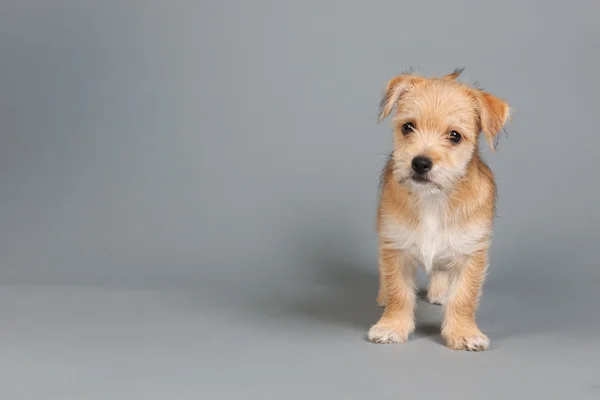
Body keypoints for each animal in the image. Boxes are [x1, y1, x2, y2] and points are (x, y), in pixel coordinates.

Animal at [370, 69, 510, 350]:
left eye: (454, 135)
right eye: (407, 127)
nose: (420, 163)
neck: (433, 199)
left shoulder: (471, 252)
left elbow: (464, 297)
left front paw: (463, 333)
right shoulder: (395, 245)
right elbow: (399, 291)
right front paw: (391, 326)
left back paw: (439, 292)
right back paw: (383, 295)